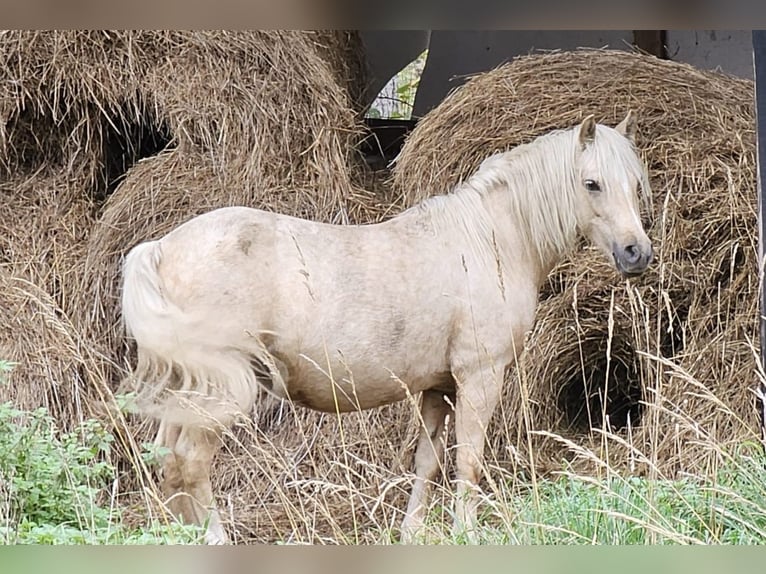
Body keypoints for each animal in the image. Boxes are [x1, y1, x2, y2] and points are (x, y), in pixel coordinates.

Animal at [120, 111, 656, 544]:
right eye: (592, 183)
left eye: (635, 184)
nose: (637, 253)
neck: (490, 240)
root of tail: (162, 249)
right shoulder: (480, 377)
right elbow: (468, 459)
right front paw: (465, 532)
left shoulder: (438, 387)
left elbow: (428, 461)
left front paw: (412, 532)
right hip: (218, 394)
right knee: (190, 460)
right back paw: (214, 539)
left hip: (189, 390)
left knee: (167, 460)